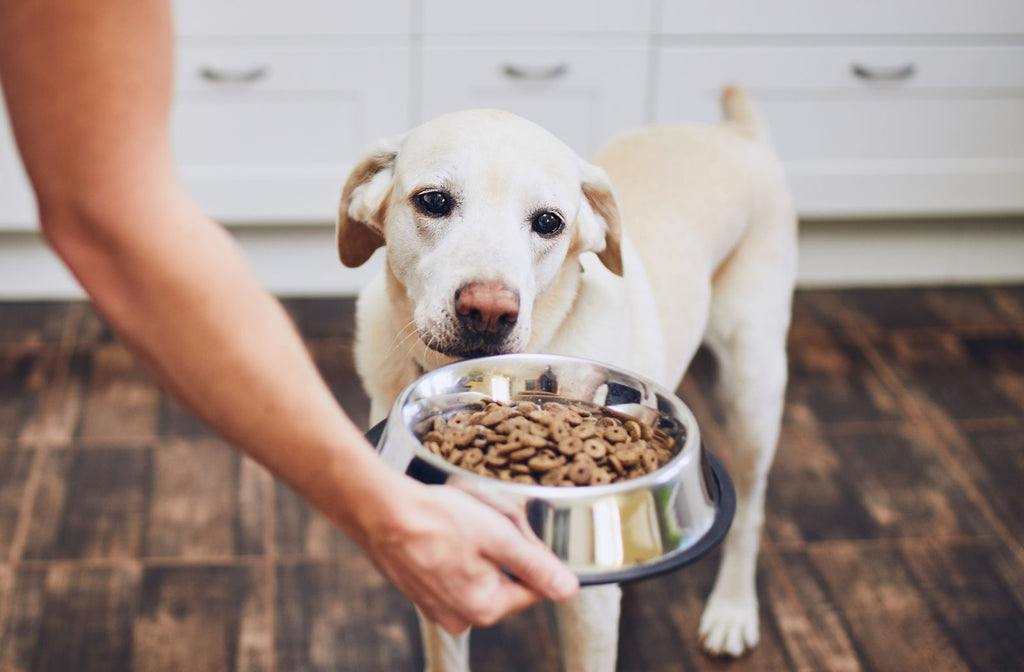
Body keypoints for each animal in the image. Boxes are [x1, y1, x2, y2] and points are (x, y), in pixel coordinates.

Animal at [335, 86, 798, 667]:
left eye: (549, 222)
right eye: (434, 201)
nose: (488, 311)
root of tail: (736, 132)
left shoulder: (589, 609)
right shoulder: (441, 575)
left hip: (752, 387)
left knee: (753, 509)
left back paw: (732, 610)